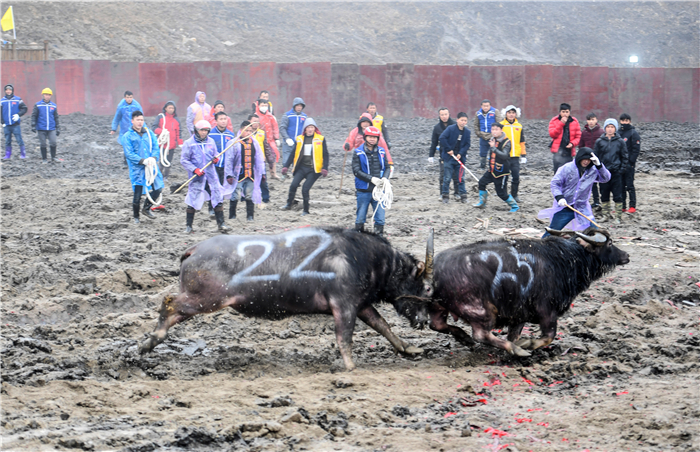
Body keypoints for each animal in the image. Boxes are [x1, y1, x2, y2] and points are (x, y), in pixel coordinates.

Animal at [137, 226, 434, 370]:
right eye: (427, 288)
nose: (424, 321)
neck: (363, 257)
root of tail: (195, 249)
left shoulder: (361, 305)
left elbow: (383, 326)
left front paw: (409, 348)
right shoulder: (344, 307)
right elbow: (345, 337)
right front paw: (351, 367)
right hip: (206, 299)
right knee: (169, 303)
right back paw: (150, 341)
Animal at [430, 230, 632, 356]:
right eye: (610, 243)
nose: (626, 255)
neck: (565, 259)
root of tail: (434, 269)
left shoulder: (519, 314)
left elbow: (515, 334)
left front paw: (519, 342)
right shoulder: (547, 310)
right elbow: (548, 336)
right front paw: (527, 344)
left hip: (440, 307)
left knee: (437, 325)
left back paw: (464, 338)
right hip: (481, 310)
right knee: (480, 335)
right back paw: (516, 350)